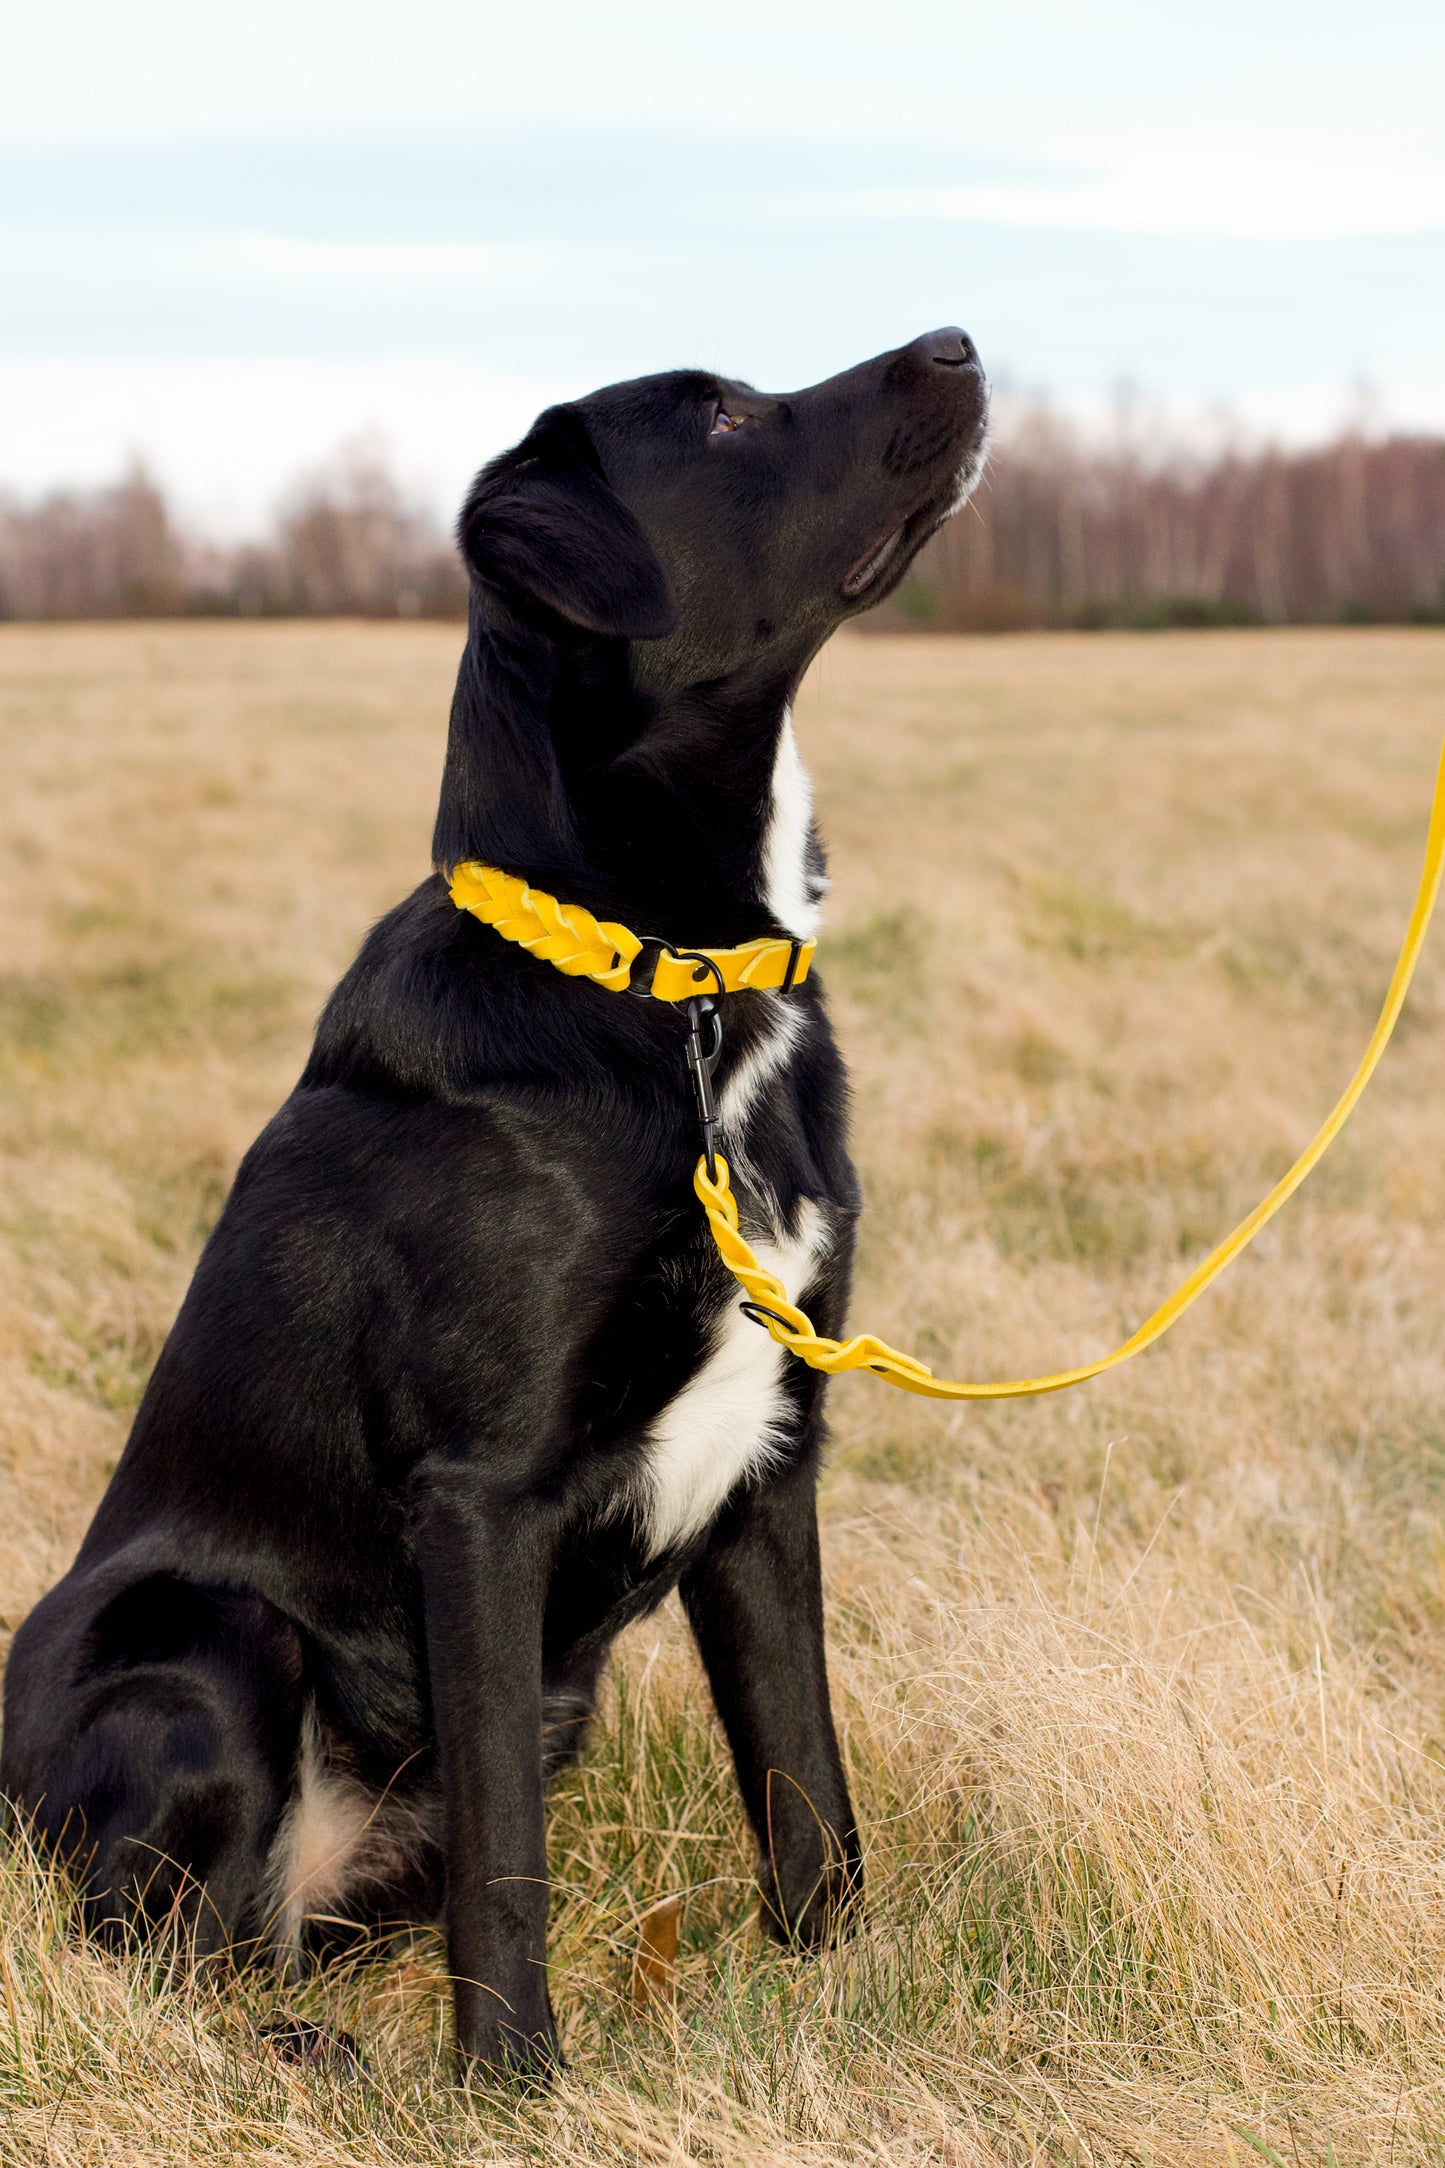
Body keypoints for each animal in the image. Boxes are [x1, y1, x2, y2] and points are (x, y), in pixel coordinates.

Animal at [2, 329, 983, 2072]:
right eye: (719, 414)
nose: (960, 344)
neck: (674, 986)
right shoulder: (481, 1498)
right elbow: (512, 1860)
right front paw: (516, 2086)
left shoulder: (773, 1466)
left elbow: (805, 1781)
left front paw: (842, 1997)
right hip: (212, 1641)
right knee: (151, 1956)